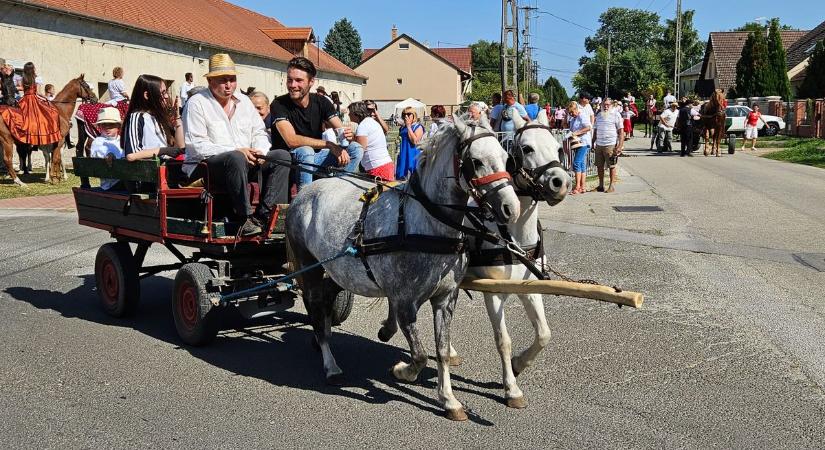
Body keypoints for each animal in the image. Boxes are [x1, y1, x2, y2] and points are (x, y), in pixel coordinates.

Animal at [288, 113, 520, 422]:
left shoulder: (446, 298)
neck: (426, 224)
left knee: (326, 300)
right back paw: (330, 363)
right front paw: (402, 371)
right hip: (309, 266)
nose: (511, 208)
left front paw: (449, 400)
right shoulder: (404, 301)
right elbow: (420, 355)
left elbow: (441, 350)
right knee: (315, 307)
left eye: (506, 157)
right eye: (476, 161)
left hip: (338, 270)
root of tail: (304, 192)